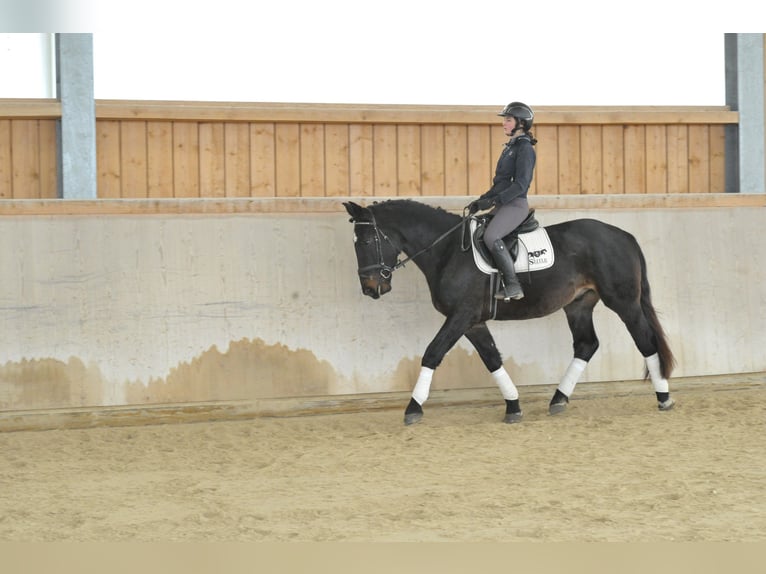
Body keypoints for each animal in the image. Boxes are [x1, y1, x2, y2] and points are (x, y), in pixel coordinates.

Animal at [343, 199, 676, 425]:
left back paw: (664, 397)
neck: (448, 251)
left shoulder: (461, 316)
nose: (370, 288)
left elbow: (432, 353)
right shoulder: (473, 322)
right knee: (586, 344)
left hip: (623, 302)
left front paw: (413, 408)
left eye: (369, 240)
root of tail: (623, 236)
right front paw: (513, 406)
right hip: (579, 303)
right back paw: (558, 399)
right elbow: (492, 359)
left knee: (645, 342)